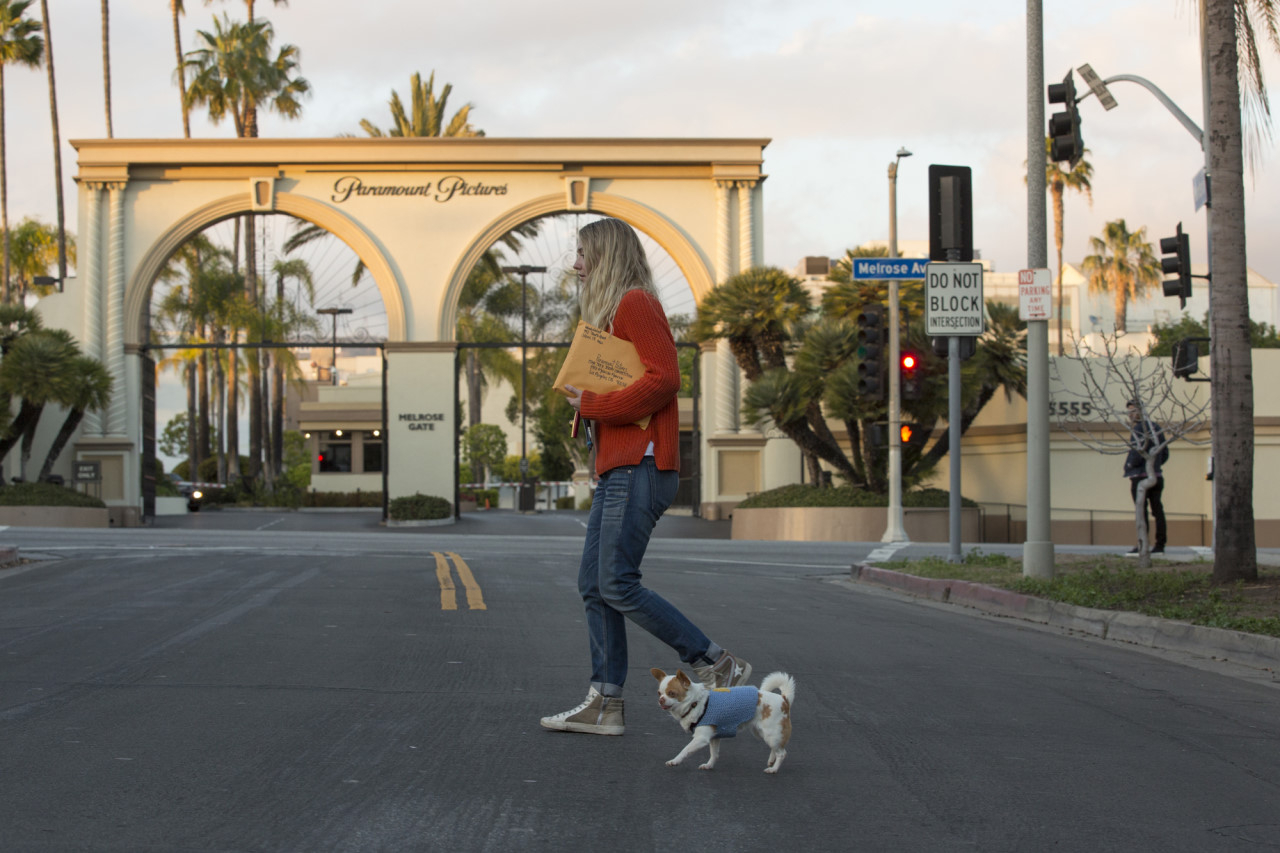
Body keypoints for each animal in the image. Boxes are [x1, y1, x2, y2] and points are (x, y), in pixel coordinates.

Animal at [655, 666, 793, 768]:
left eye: (671, 693)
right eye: (659, 693)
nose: (660, 700)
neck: (696, 703)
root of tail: (784, 699)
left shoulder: (701, 738)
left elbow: (685, 750)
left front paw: (675, 761)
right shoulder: (714, 737)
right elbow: (714, 754)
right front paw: (709, 765)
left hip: (771, 733)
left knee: (782, 753)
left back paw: (773, 769)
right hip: (762, 733)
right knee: (776, 748)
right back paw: (771, 762)